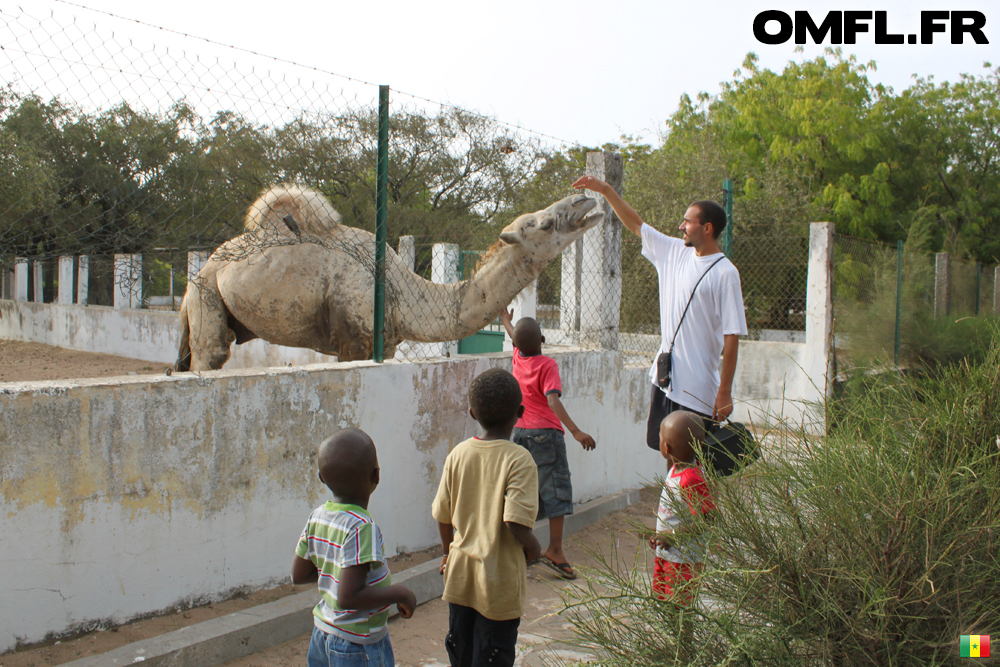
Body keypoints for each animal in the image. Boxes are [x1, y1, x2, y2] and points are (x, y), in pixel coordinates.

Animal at [174, 184, 600, 370]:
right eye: (544, 223)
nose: (585, 200)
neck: (400, 291)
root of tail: (209, 262)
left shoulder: (387, 344)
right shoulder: (352, 340)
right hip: (206, 292)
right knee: (210, 353)